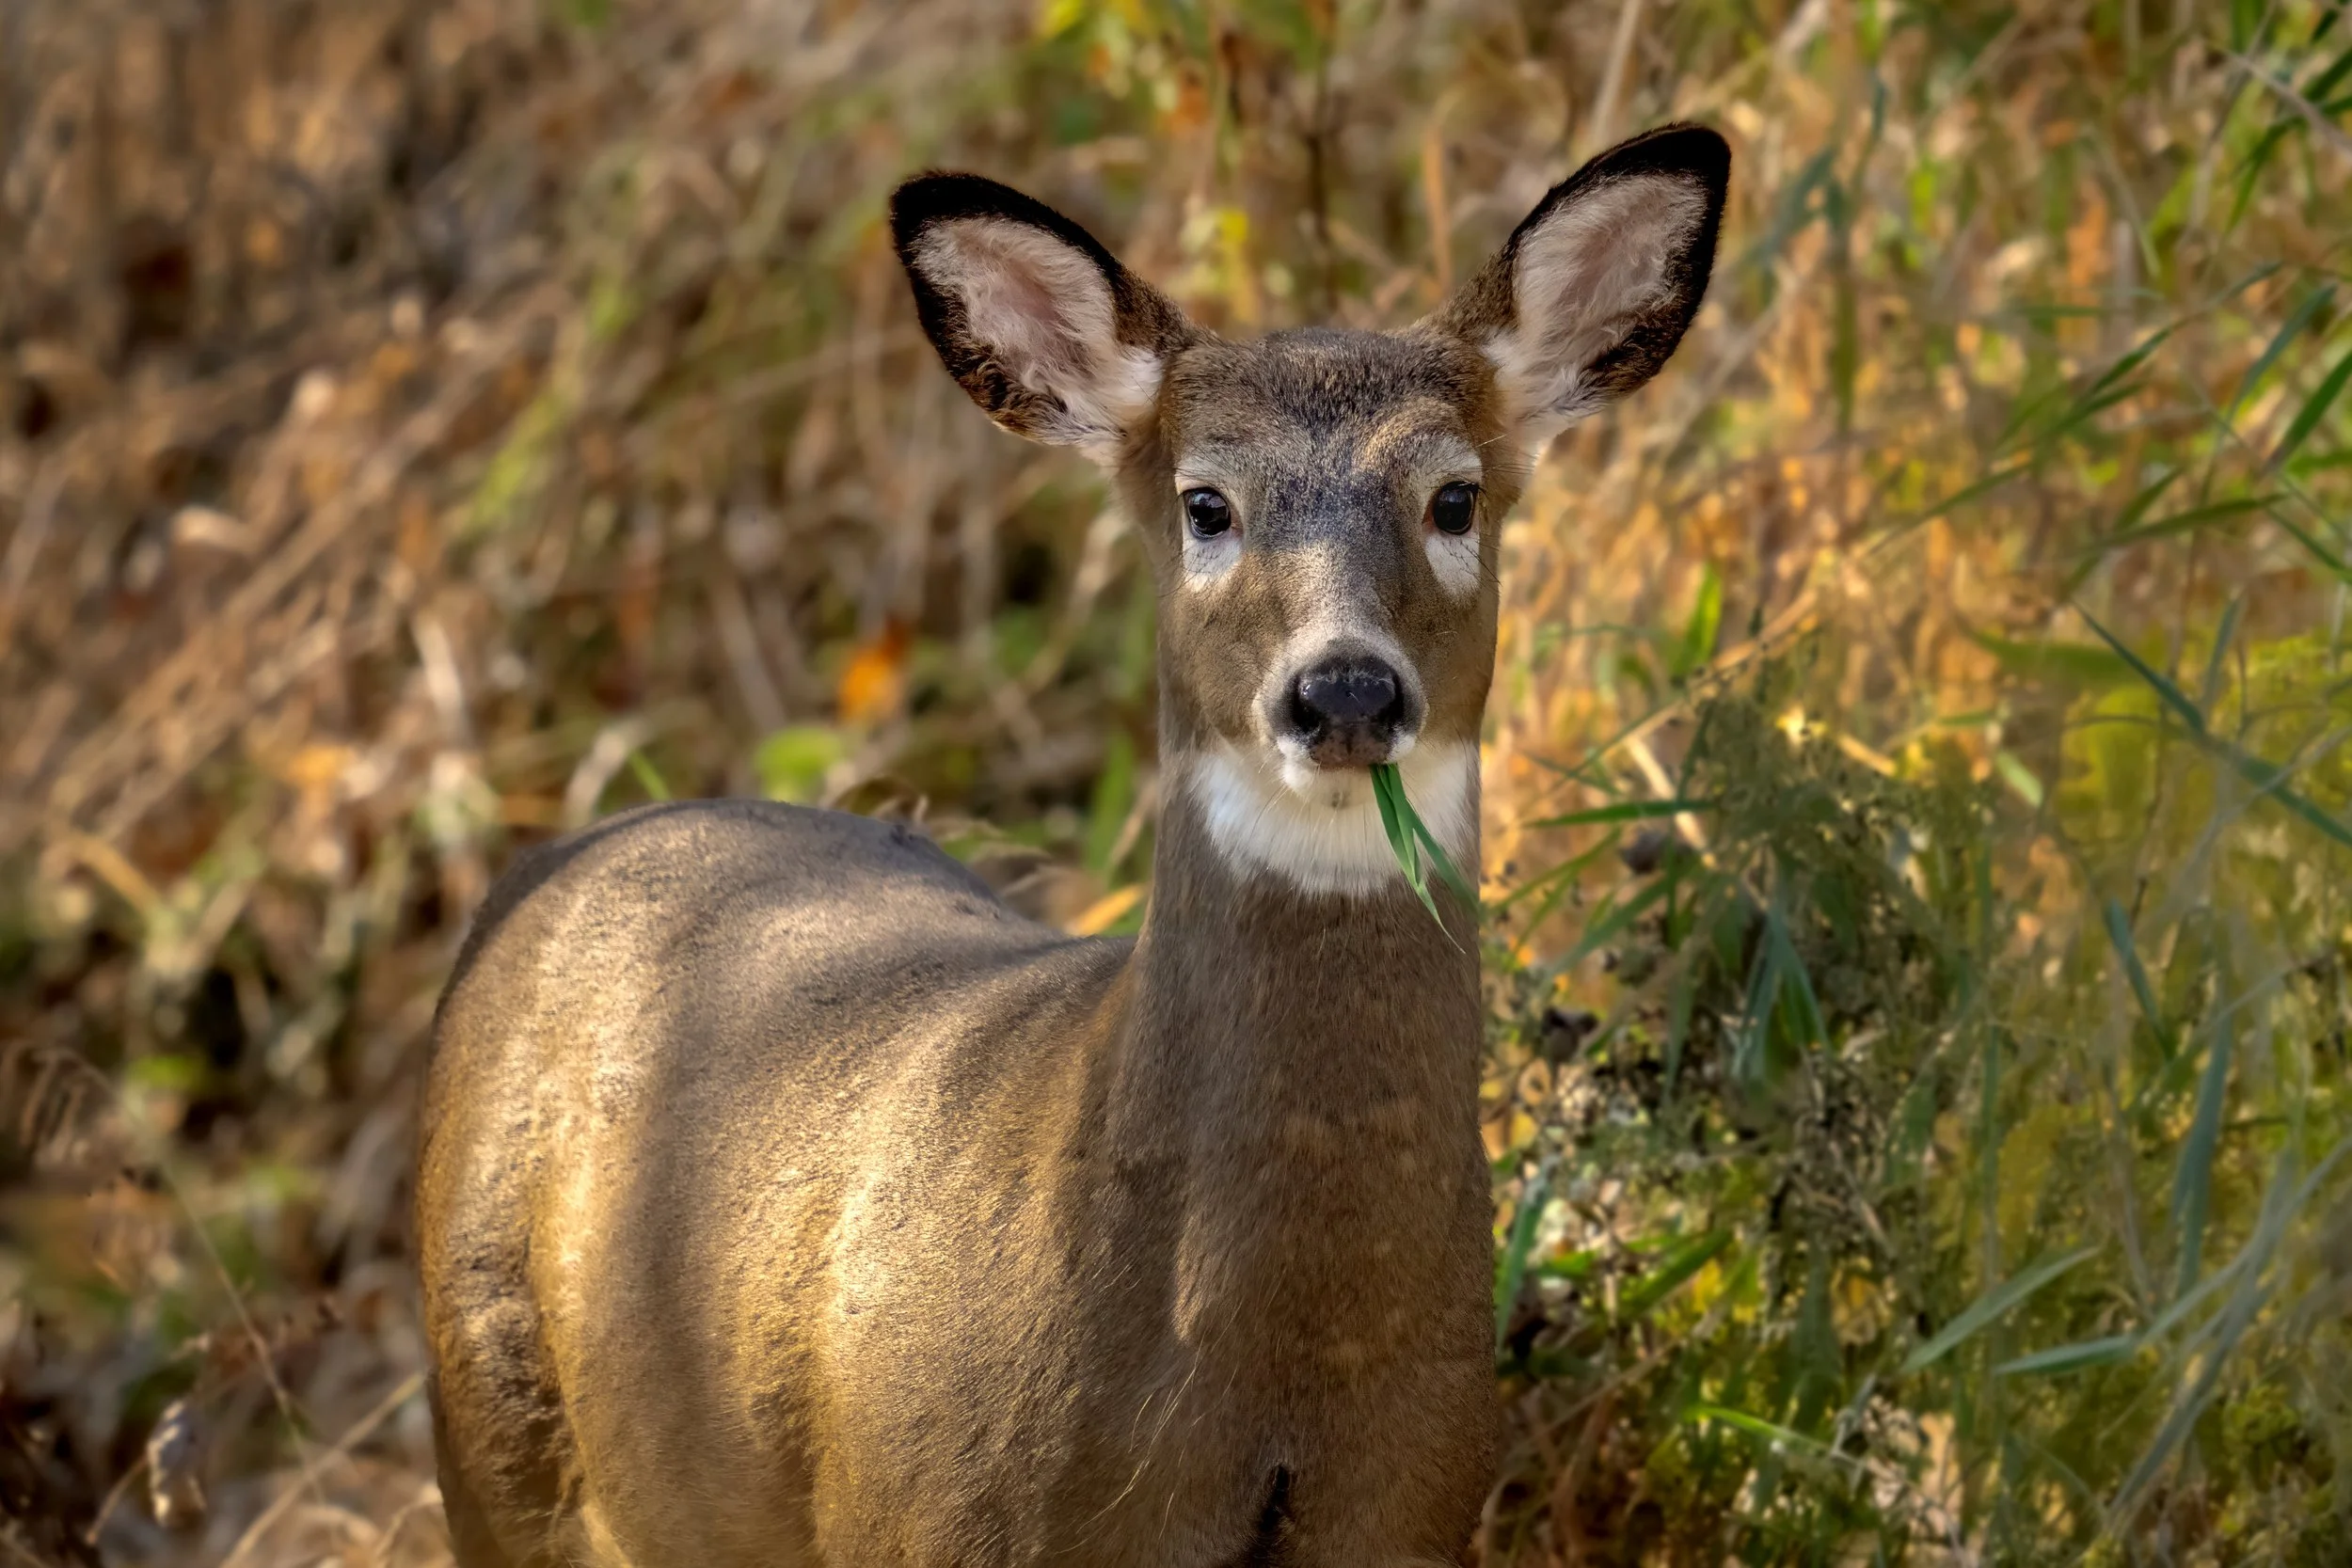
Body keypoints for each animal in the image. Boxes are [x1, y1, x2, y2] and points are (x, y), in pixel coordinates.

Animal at [416, 123, 1727, 1568]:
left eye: (1454, 496)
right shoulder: (924, 1518)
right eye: (1206, 503)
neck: (1271, 1367)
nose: (1342, 691)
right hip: (485, 1434)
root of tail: (542, 871)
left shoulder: (1411, 1510)